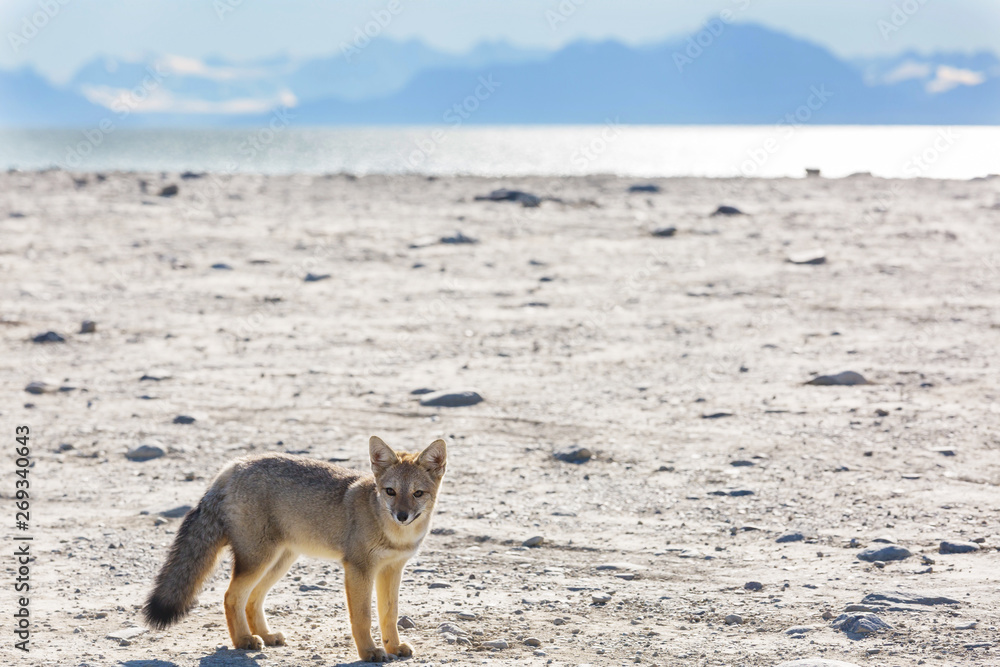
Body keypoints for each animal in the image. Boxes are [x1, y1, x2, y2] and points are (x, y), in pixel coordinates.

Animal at [142, 436, 447, 662]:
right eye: (390, 492)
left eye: (418, 494)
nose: (402, 516)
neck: (394, 534)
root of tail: (233, 466)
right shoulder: (358, 569)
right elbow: (362, 616)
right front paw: (370, 652)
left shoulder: (392, 569)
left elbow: (389, 614)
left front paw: (393, 647)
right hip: (259, 560)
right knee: (232, 596)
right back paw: (243, 640)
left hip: (280, 561)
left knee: (252, 599)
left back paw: (266, 636)